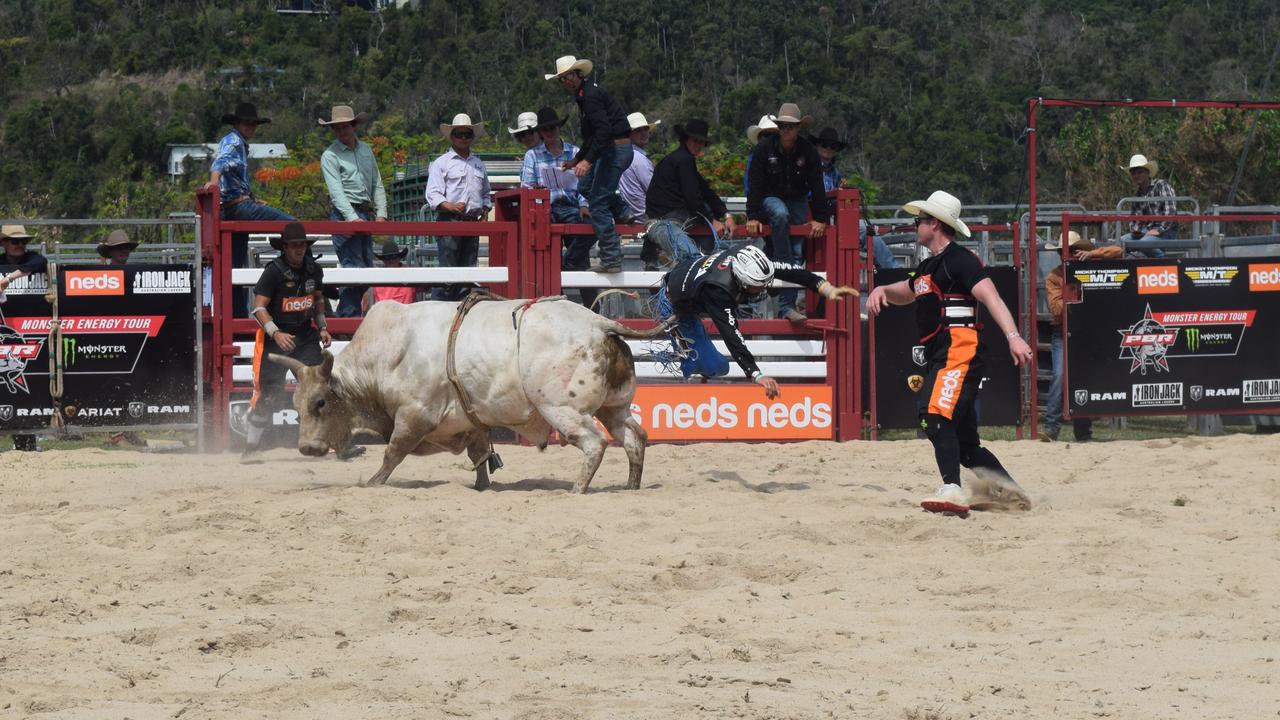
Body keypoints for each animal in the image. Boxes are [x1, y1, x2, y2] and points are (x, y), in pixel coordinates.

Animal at [270, 294, 670, 489]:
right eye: (295, 405)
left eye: (320, 402)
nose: (307, 448)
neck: (389, 352)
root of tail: (599, 323)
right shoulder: (471, 420)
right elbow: (479, 455)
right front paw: (482, 486)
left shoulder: (414, 415)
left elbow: (392, 454)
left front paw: (371, 484)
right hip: (614, 407)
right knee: (633, 437)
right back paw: (631, 486)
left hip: (562, 408)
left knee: (594, 443)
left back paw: (578, 489)